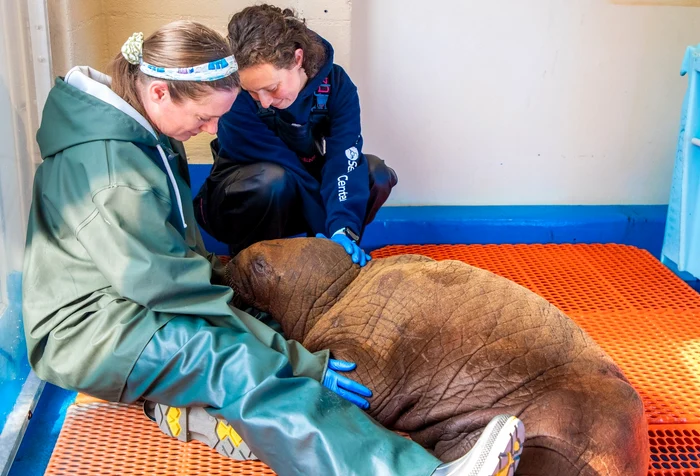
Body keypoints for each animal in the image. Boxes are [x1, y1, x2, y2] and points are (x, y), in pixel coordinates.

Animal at [227, 236, 648, 474]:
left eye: (258, 265)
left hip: (569, 435)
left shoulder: (366, 338)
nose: (225, 260)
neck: (340, 287)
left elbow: (358, 377)